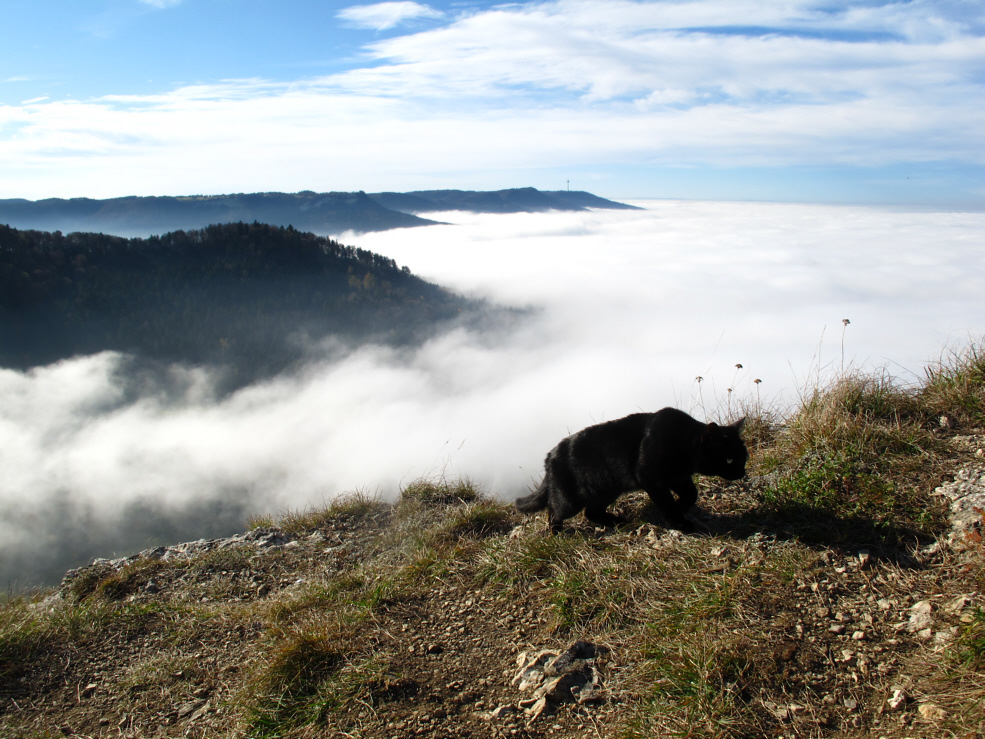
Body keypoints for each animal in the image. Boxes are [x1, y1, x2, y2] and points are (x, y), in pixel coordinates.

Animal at [516, 408, 744, 536]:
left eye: (744, 456)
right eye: (728, 459)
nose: (741, 472)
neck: (684, 446)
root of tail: (549, 456)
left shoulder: (678, 478)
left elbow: (691, 494)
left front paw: (680, 508)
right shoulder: (651, 478)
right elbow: (667, 503)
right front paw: (679, 522)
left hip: (607, 490)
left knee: (592, 512)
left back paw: (619, 522)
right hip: (570, 499)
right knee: (554, 509)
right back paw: (557, 533)